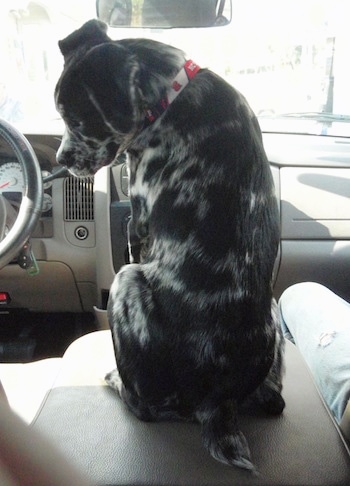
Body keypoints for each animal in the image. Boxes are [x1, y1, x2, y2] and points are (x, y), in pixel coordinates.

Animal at [54, 19, 284, 470]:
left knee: (143, 406)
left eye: (77, 120)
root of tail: (218, 404)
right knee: (273, 400)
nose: (59, 161)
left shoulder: (137, 226)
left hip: (126, 282)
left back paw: (115, 381)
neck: (172, 95)